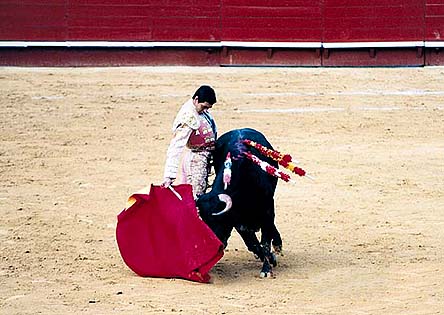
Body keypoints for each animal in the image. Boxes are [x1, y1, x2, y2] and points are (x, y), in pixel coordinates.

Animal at [197, 127, 282, 278]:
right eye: (205, 221)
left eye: (219, 220)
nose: (215, 247)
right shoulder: (239, 221)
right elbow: (253, 244)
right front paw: (269, 259)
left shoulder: (267, 208)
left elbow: (265, 242)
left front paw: (266, 269)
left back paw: (278, 244)